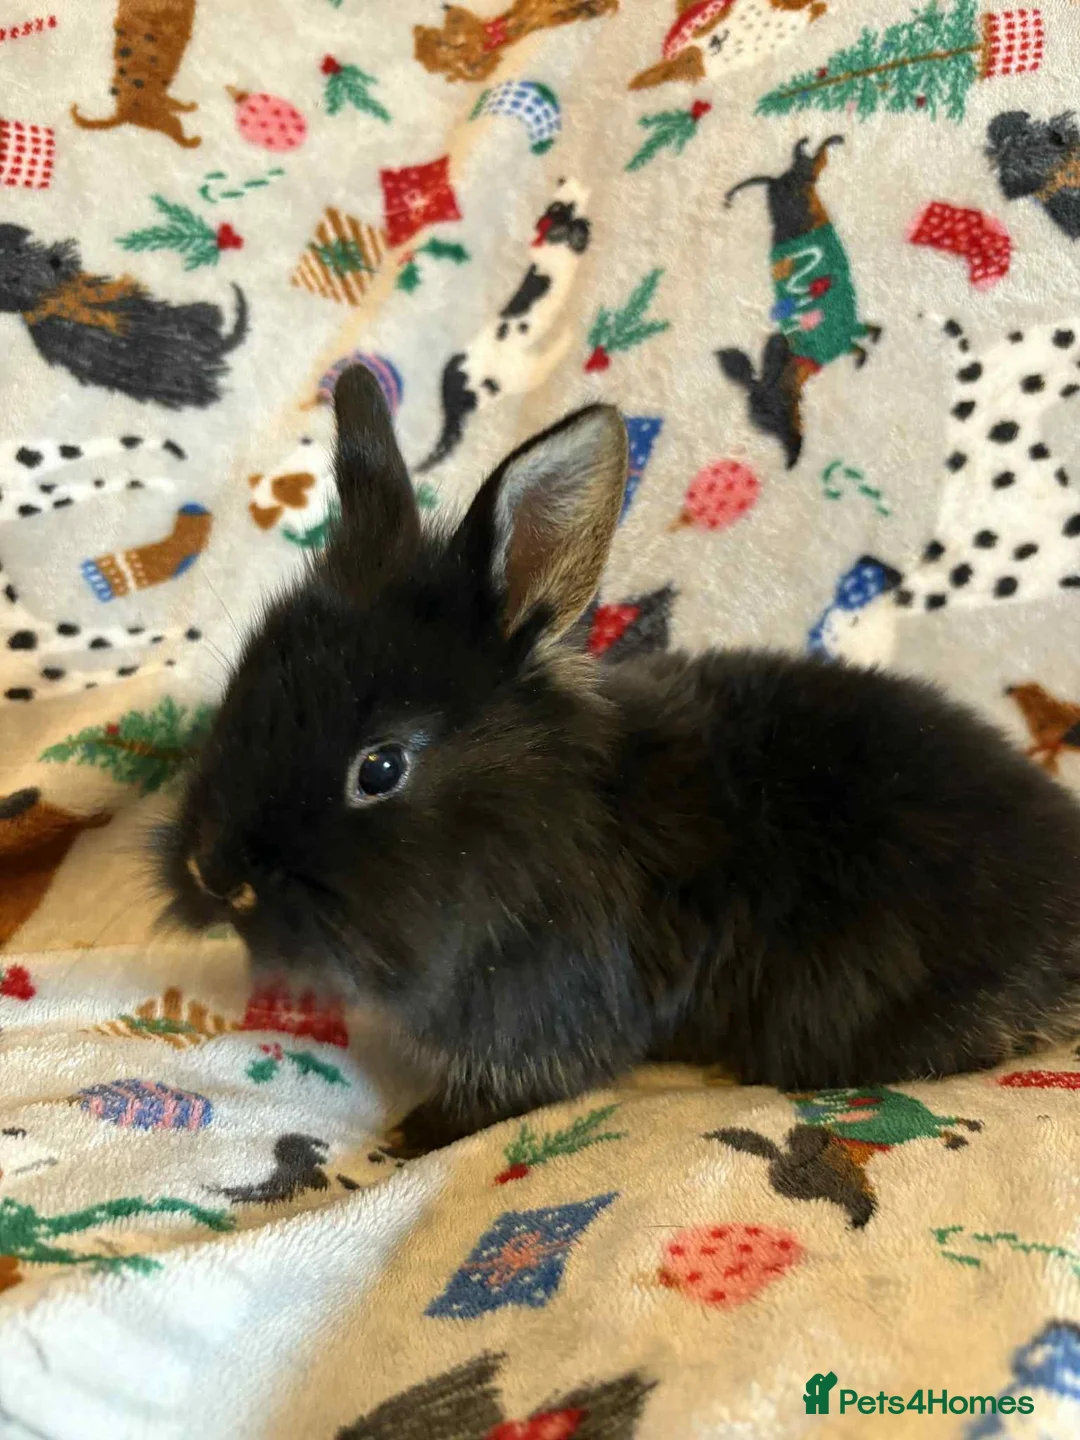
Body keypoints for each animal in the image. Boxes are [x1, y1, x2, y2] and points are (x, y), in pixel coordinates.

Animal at [161, 366, 1080, 1155]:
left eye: (379, 769)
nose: (215, 875)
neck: (543, 822)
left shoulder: (537, 1018)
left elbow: (494, 1098)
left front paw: (402, 1141)